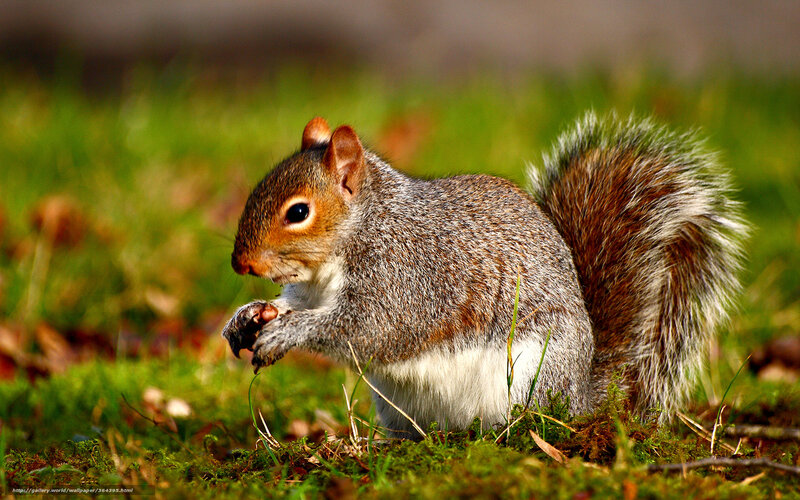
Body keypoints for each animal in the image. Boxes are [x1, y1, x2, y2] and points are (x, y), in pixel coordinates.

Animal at [222, 112, 747, 438]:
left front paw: (287, 333)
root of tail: (581, 396)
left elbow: (368, 327)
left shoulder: (406, 276)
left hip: (529, 374)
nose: (240, 264)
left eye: (298, 212)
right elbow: (295, 304)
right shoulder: (312, 287)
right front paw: (248, 316)